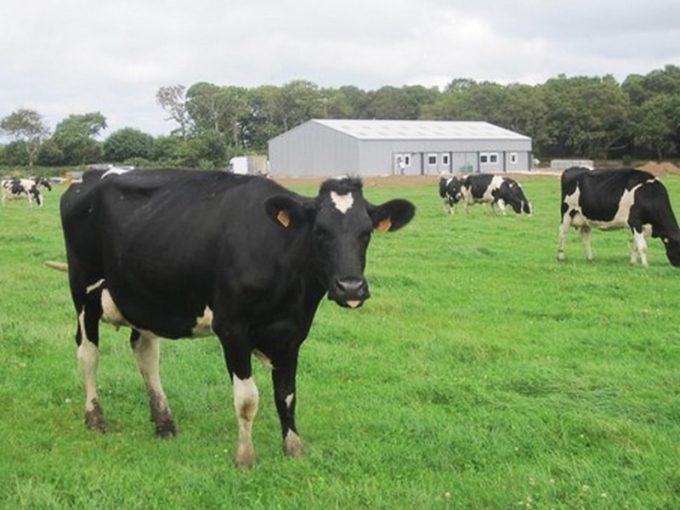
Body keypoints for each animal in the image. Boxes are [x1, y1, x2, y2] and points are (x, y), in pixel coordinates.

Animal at [56, 168, 415, 469]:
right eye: (320, 231)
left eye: (366, 233)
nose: (350, 287)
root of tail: (88, 176)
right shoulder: (232, 330)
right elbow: (247, 399)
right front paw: (245, 457)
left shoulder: (292, 332)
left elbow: (287, 394)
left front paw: (294, 448)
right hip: (84, 292)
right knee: (87, 354)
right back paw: (95, 418)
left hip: (144, 298)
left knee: (146, 355)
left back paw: (164, 422)